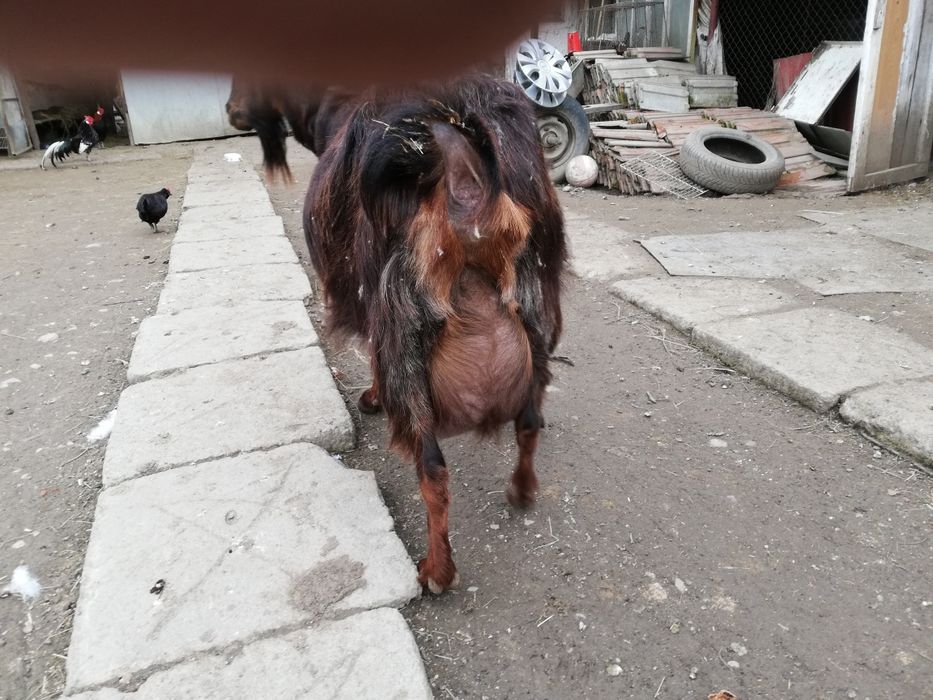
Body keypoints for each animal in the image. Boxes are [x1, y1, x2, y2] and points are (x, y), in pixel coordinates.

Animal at [228, 75, 567, 593]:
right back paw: (522, 491)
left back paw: (437, 571)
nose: (230, 111)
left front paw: (370, 397)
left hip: (405, 337)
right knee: (529, 422)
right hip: (533, 317)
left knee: (433, 470)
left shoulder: (370, 302)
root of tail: (459, 166)